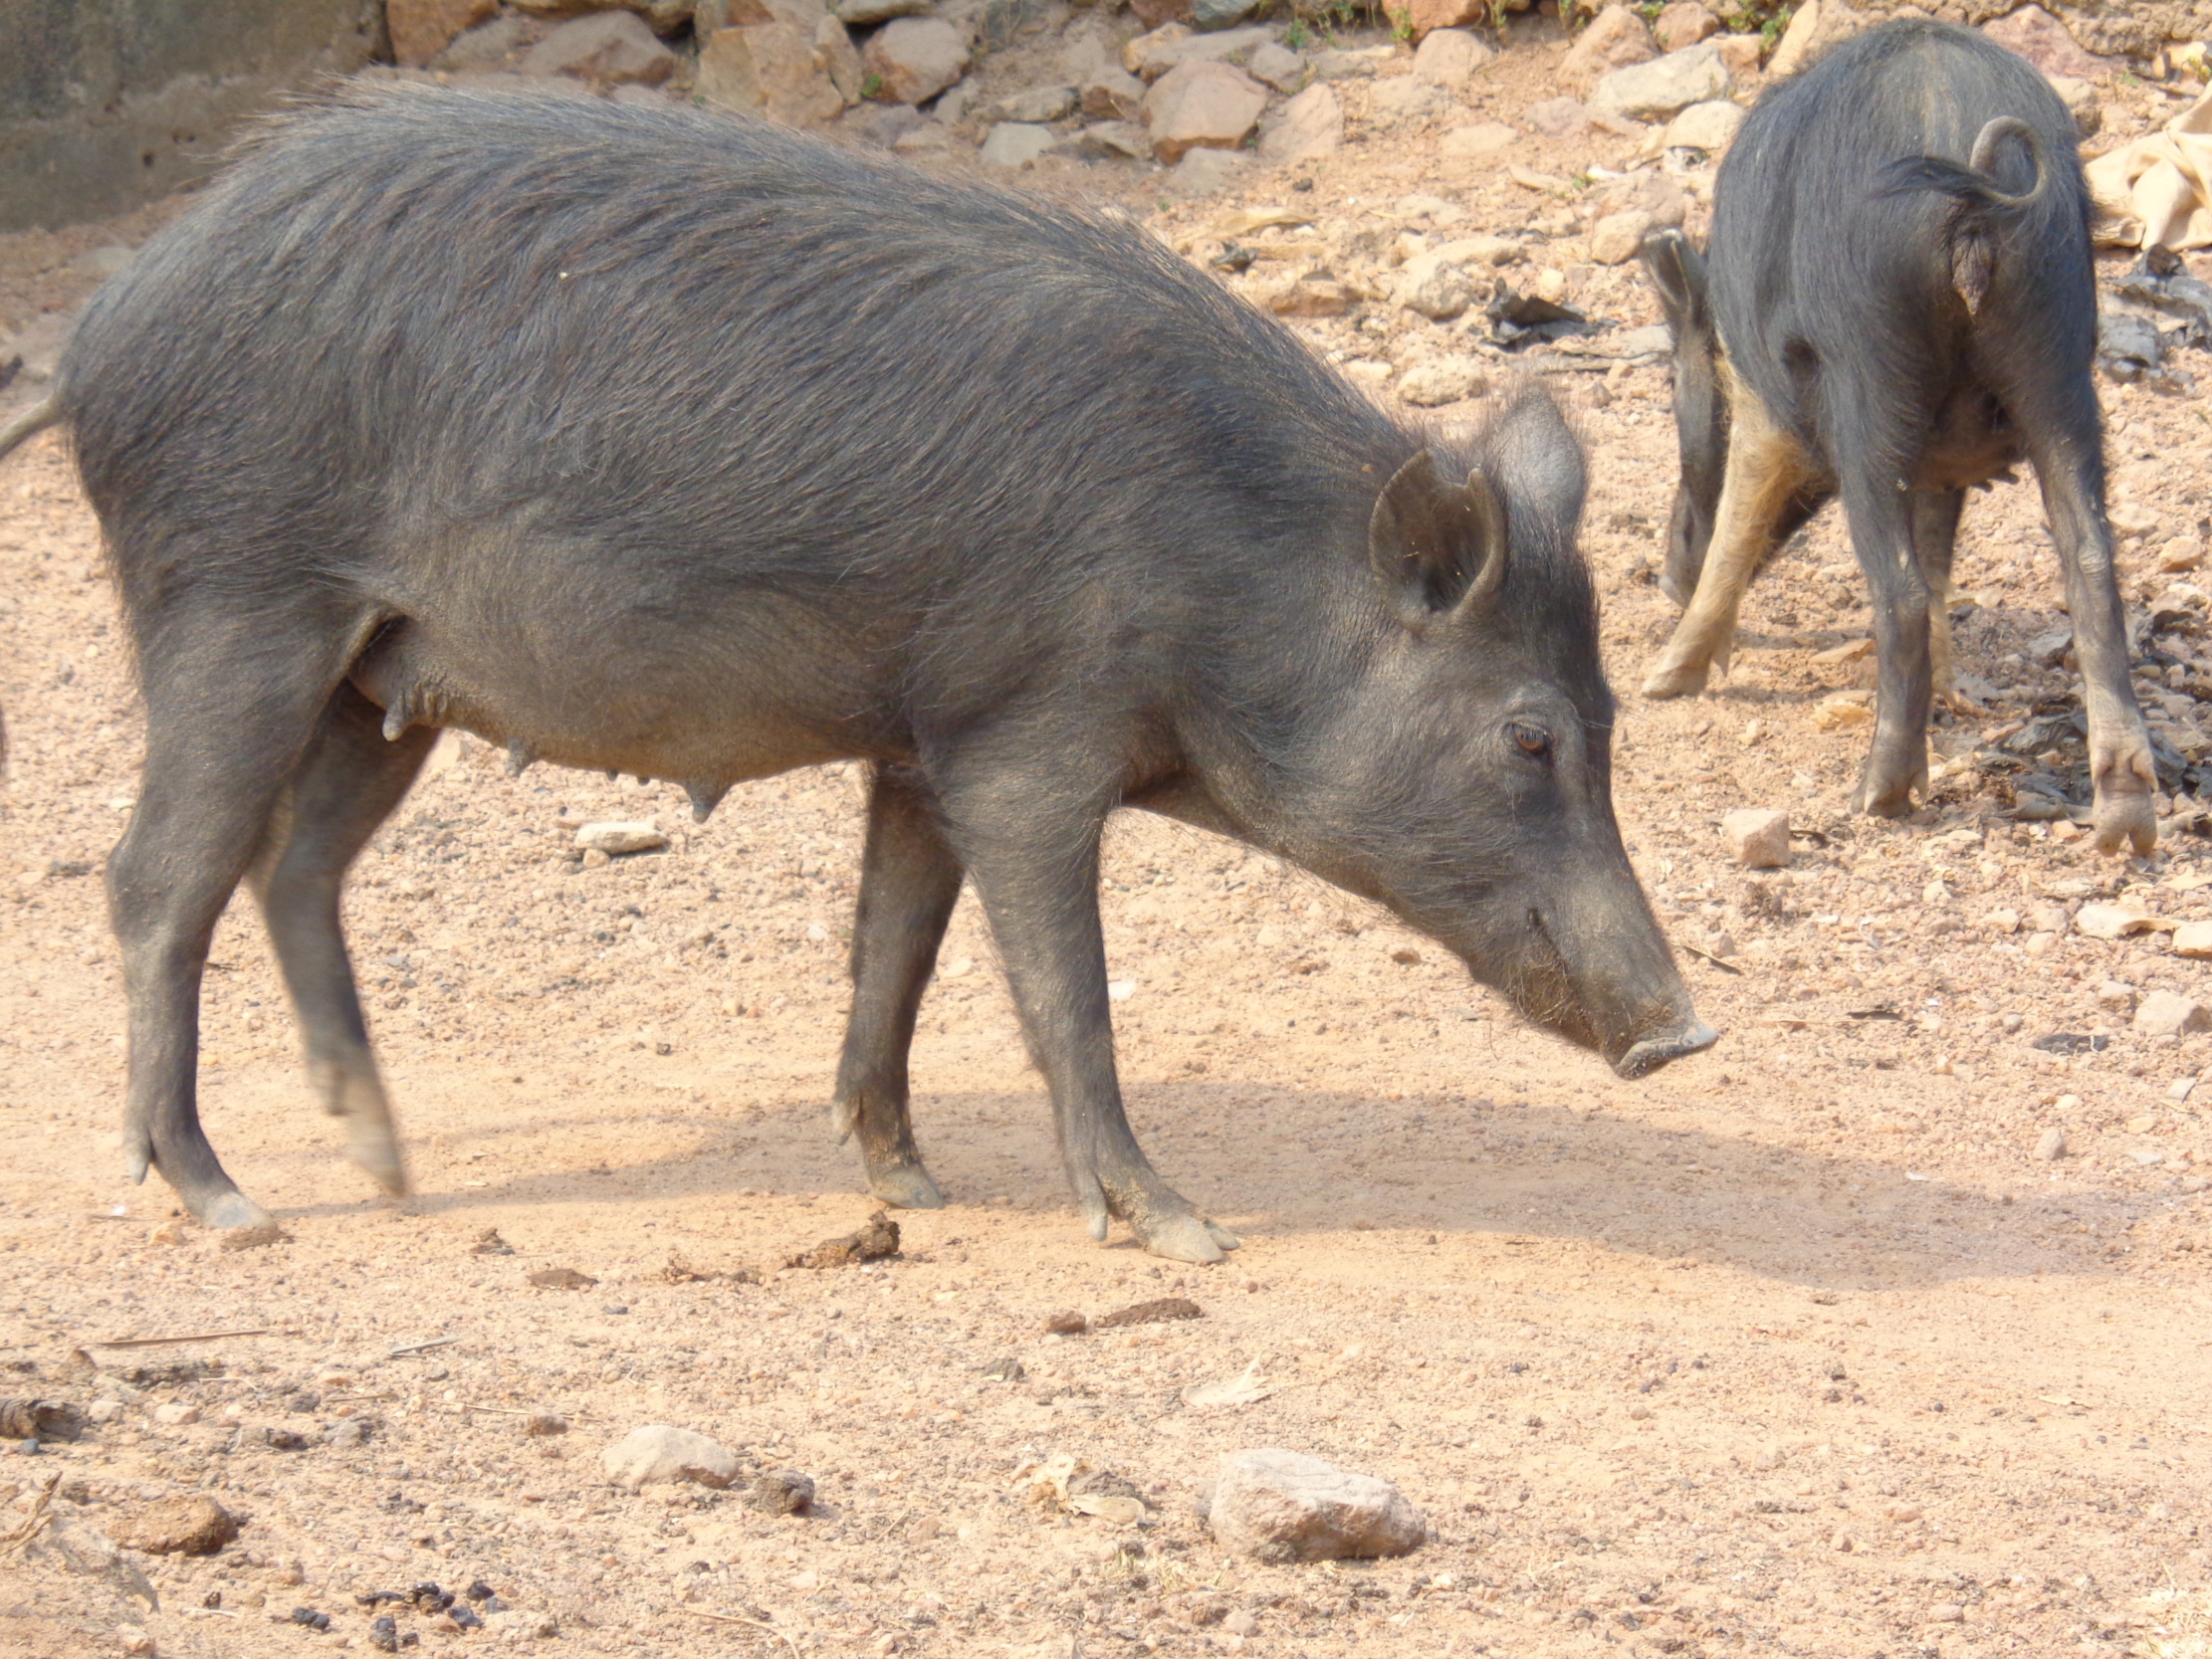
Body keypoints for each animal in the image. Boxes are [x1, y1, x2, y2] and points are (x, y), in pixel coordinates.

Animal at [0, 83, 1713, 1263]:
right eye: (1528, 736)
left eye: (1610, 721)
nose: (1686, 1033)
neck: (1229, 572)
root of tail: (98, 325)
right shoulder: (1024, 742)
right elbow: (1061, 983)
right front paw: (1180, 1232)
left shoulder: (917, 741)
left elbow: (895, 948)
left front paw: (911, 1184)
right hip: (236, 603)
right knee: (156, 874)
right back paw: (227, 1200)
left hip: (384, 677)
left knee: (294, 867)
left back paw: (391, 1169)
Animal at [1635, 20, 2154, 855]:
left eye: (1678, 398)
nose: (1662, 578)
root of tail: (1971, 179)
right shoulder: (1946, 460)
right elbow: (1940, 558)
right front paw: (1948, 701)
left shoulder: (1761, 403)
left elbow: (1743, 522)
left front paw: (1661, 682)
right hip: (2060, 357)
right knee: (2090, 559)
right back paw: (2125, 823)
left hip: (1868, 382)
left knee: (1899, 591)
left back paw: (1875, 796)